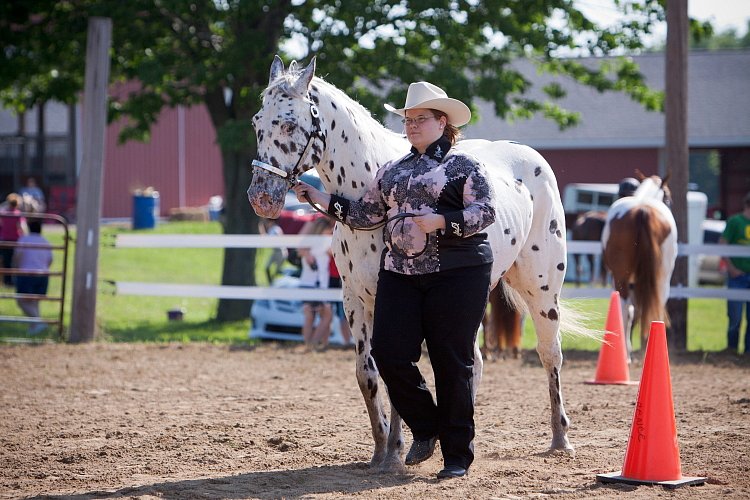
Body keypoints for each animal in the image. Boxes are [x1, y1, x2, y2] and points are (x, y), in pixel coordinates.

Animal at [604, 174, 680, 354]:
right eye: (668, 198)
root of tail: (642, 210)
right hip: (661, 279)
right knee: (654, 306)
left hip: (622, 279)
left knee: (626, 309)